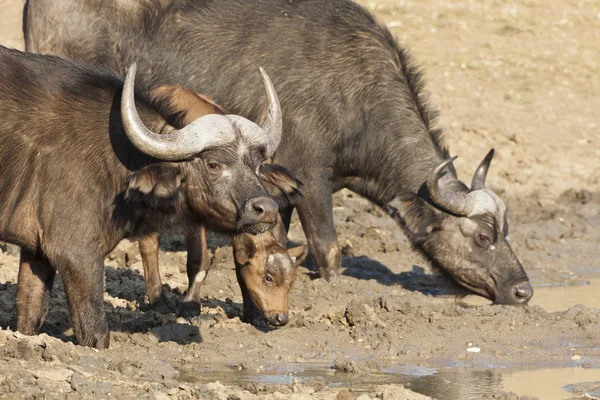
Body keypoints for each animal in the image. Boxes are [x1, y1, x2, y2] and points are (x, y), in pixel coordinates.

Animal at [0, 46, 292, 346]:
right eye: (213, 164)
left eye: (256, 164)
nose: (267, 209)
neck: (120, 160)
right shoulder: (76, 254)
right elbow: (95, 333)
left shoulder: (38, 252)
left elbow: (30, 315)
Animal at [24, 0, 536, 304]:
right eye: (483, 237)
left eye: (506, 232)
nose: (524, 290)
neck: (358, 98)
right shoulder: (312, 178)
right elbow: (328, 248)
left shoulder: (275, 186)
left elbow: (280, 238)